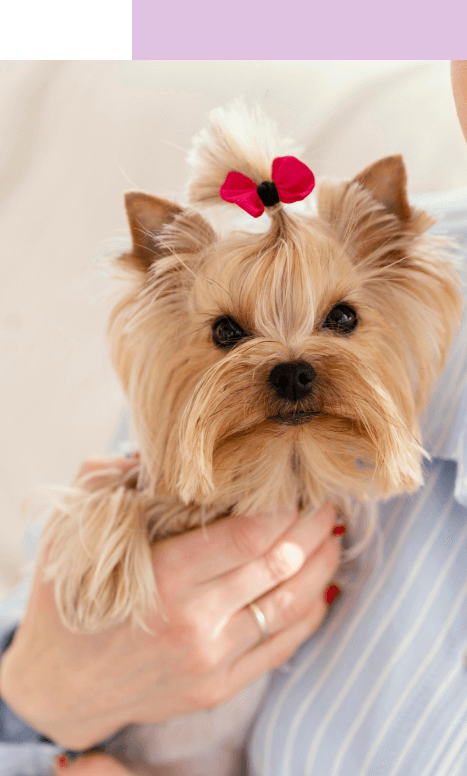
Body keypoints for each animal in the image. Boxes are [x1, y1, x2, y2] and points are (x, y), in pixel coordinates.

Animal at [39, 103, 464, 776]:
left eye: (343, 317)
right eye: (225, 332)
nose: (292, 371)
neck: (279, 463)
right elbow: (110, 491)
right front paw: (96, 585)